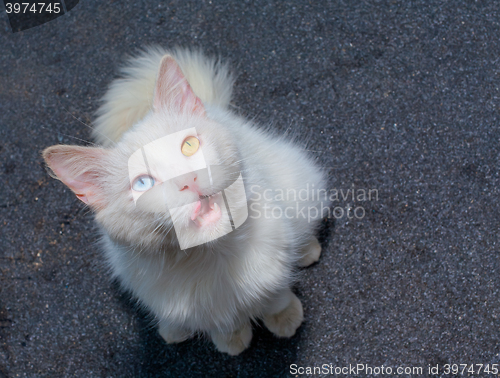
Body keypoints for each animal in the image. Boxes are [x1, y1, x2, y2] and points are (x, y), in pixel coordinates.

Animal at [42, 46, 324, 354]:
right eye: (142, 184)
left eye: (188, 146)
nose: (189, 179)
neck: (213, 257)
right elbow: (221, 323)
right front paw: (232, 340)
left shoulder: (274, 262)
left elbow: (276, 295)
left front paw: (285, 318)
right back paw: (174, 332)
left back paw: (308, 250)